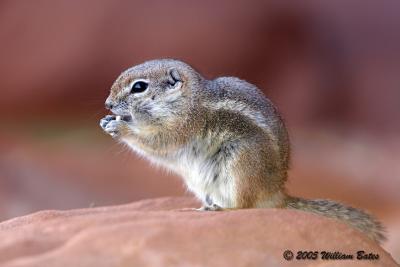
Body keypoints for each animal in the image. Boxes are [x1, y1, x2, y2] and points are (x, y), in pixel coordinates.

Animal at [99, 59, 384, 244]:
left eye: (139, 87)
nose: (108, 104)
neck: (187, 101)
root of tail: (276, 194)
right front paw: (108, 121)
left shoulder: (183, 126)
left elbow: (158, 143)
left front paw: (121, 127)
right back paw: (202, 207)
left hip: (239, 163)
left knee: (244, 207)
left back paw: (219, 210)